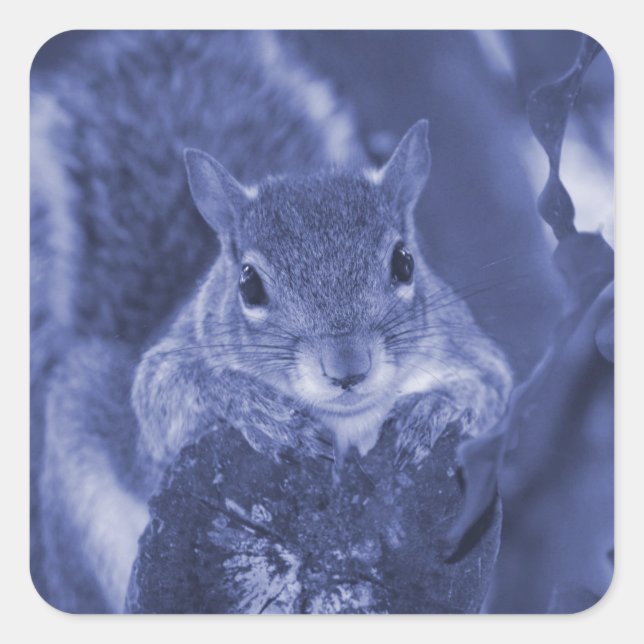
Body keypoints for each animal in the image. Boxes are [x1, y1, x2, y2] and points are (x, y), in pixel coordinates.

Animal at [31, 31, 513, 612]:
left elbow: (491, 391)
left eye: (404, 262)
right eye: (250, 285)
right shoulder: (165, 382)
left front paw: (432, 408)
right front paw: (255, 408)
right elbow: (167, 399)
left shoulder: (466, 347)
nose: (347, 368)